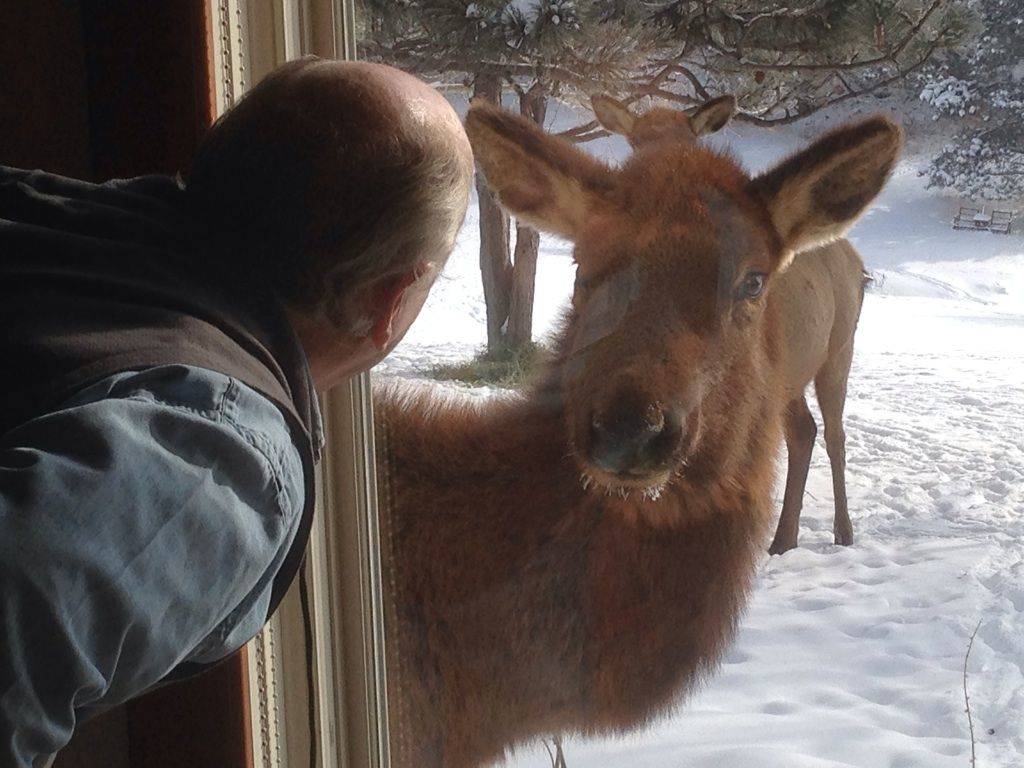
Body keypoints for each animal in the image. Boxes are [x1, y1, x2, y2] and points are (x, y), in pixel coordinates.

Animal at [593, 94, 872, 552]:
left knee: (835, 435)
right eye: (634, 143)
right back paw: (783, 539)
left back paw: (843, 532)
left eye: (689, 144)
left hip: (839, 350)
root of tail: (857, 262)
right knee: (803, 431)